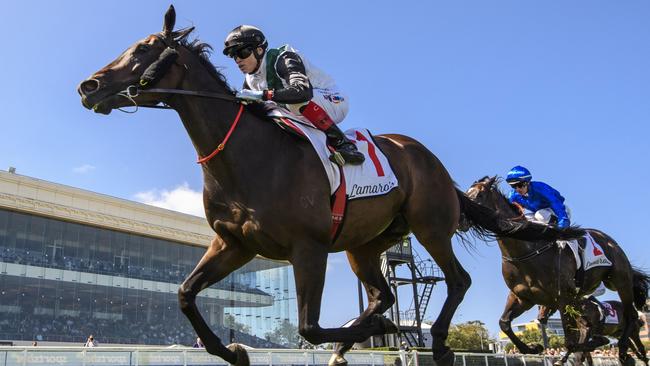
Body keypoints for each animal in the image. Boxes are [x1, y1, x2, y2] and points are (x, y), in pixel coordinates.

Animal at [78, 5, 580, 366]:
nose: (89, 86)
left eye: (144, 48)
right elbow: (185, 294)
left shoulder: (309, 247)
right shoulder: (234, 245)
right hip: (365, 245)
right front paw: (233, 350)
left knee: (457, 280)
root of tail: (429, 160)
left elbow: (309, 328)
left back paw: (434, 342)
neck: (248, 157)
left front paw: (379, 334)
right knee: (384, 295)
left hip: (430, 226)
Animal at [464, 176, 644, 364]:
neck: (527, 250)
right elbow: (504, 323)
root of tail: (610, 241)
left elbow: (572, 342)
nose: (462, 217)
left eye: (480, 194)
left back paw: (623, 349)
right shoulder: (523, 297)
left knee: (631, 315)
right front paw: (533, 348)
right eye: (466, 193)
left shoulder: (562, 296)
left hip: (620, 280)